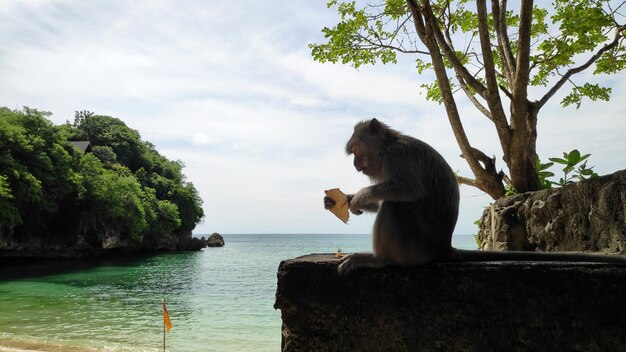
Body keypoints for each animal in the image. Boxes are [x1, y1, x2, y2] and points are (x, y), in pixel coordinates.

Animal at [324, 117, 620, 274]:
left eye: (356, 150)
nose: (355, 165)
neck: (387, 148)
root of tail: (443, 248)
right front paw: (345, 199)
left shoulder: (399, 157)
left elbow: (408, 191)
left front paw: (360, 196)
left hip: (414, 248)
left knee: (397, 207)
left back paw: (379, 260)